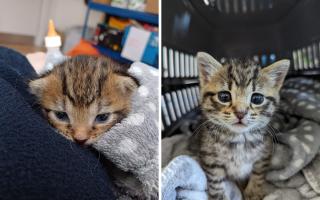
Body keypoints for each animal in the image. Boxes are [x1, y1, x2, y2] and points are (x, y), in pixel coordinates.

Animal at [196, 52, 292, 199]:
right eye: (224, 96)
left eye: (257, 98)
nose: (240, 113)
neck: (239, 139)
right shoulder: (210, 159)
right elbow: (216, 183)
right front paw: (220, 196)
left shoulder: (264, 153)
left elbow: (258, 173)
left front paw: (253, 193)